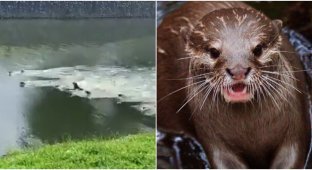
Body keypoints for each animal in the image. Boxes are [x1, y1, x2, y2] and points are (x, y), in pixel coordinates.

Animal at [157, 1, 310, 169]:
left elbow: (292, 155)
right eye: (213, 51)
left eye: (258, 48)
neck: (250, 130)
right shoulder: (214, 140)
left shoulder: (294, 129)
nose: (238, 70)